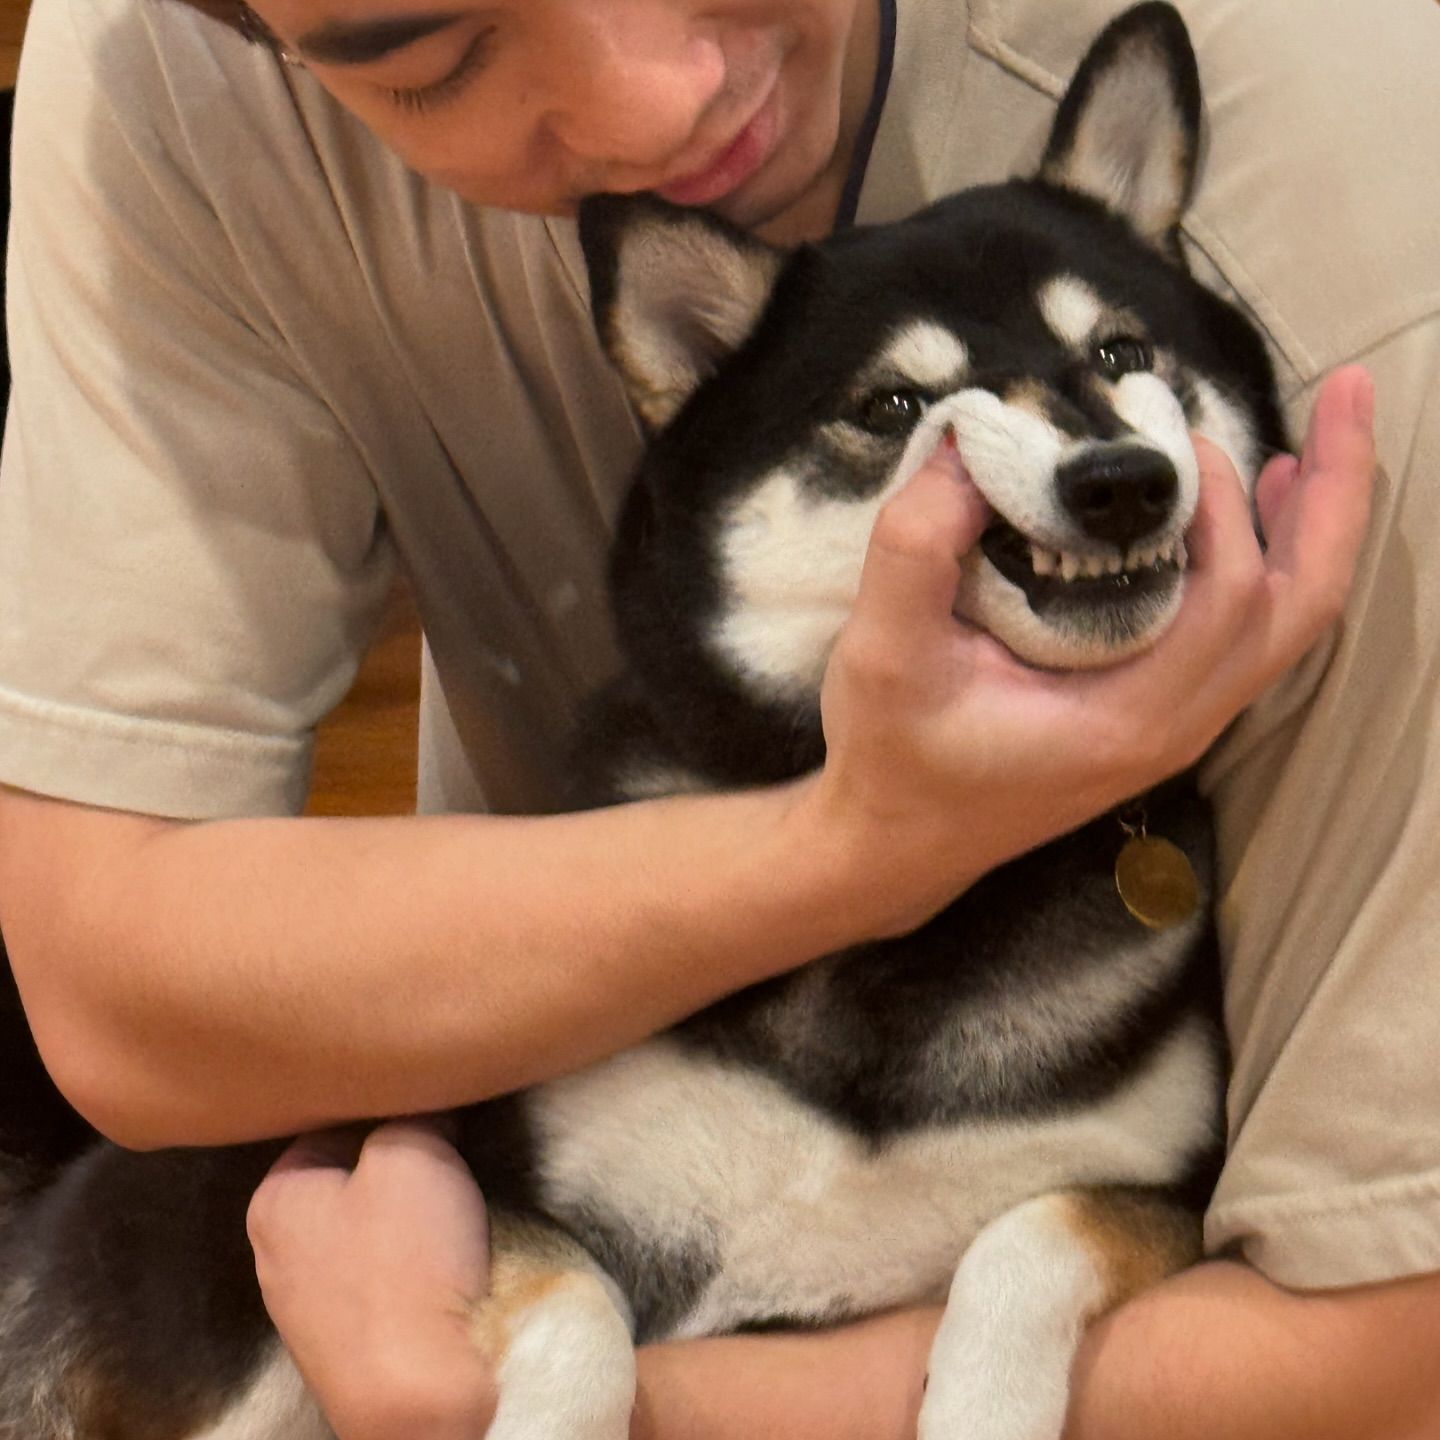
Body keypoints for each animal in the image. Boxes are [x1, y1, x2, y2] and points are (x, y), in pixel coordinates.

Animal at [0, 5, 1284, 1434]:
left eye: (1120, 354)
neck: (922, 930)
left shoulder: (1166, 1195)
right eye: (893, 408)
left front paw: (983, 1405)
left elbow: (1031, 1238)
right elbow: (582, 1318)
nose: (1122, 480)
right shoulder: (504, 1194)